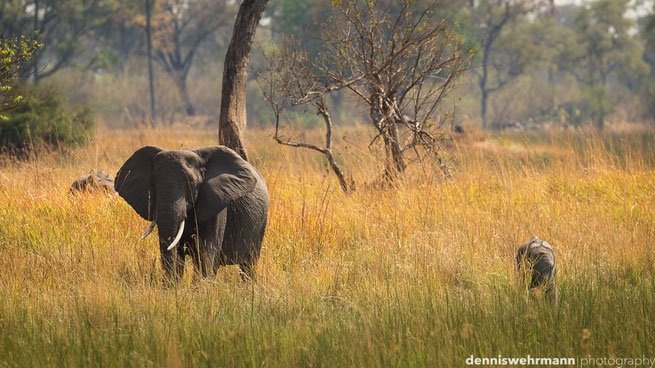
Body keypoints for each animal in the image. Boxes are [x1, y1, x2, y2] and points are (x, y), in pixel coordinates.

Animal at [115, 145, 270, 280]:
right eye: (152, 183)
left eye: (191, 183)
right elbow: (176, 251)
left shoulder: (216, 201)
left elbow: (207, 250)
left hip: (261, 224)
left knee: (248, 264)